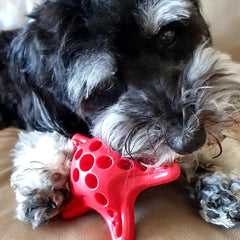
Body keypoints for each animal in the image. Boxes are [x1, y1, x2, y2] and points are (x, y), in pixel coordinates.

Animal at [0, 0, 240, 230]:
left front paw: (220, 181)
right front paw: (42, 181)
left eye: (168, 36)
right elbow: (45, 136)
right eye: (105, 85)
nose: (191, 140)